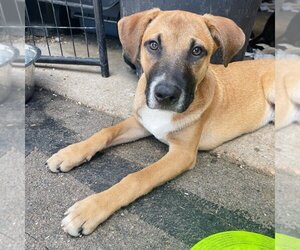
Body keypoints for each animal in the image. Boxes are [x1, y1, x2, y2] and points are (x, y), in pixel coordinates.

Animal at [45, 9, 280, 236]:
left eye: (197, 51)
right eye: (153, 45)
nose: (165, 94)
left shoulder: (182, 153)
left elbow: (138, 177)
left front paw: (90, 209)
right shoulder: (142, 123)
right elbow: (106, 131)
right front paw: (70, 153)